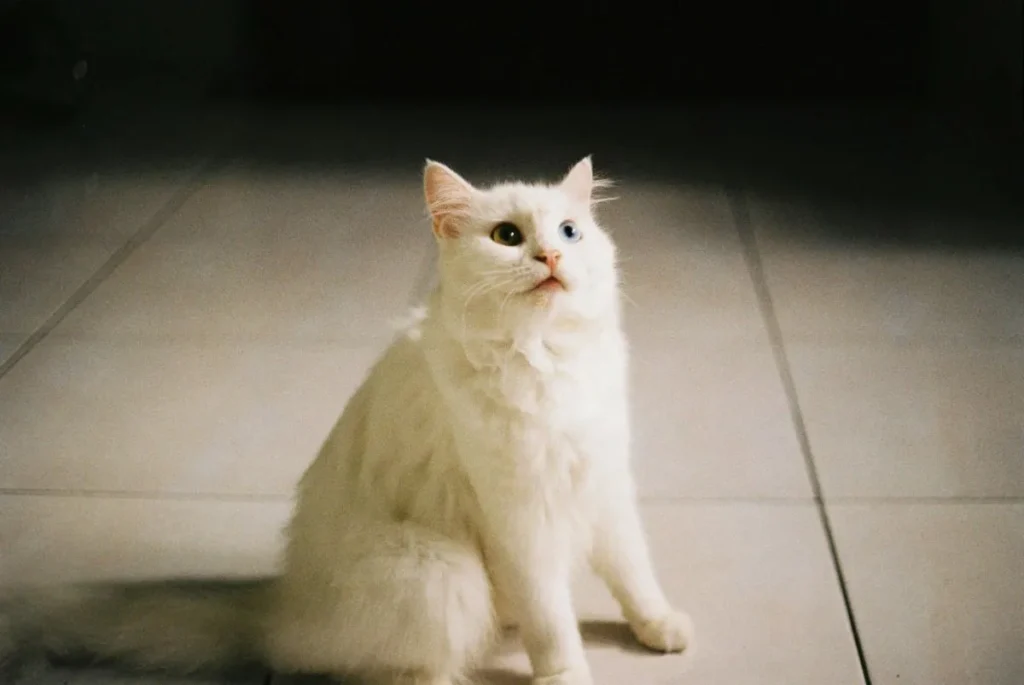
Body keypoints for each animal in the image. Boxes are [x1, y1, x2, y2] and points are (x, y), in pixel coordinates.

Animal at [0, 156, 692, 683]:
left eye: (570, 232)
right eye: (507, 238)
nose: (550, 255)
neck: (548, 359)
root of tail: (280, 610)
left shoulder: (604, 484)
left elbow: (634, 574)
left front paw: (660, 627)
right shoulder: (522, 520)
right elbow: (554, 624)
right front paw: (567, 675)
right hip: (443, 572)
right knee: (413, 673)